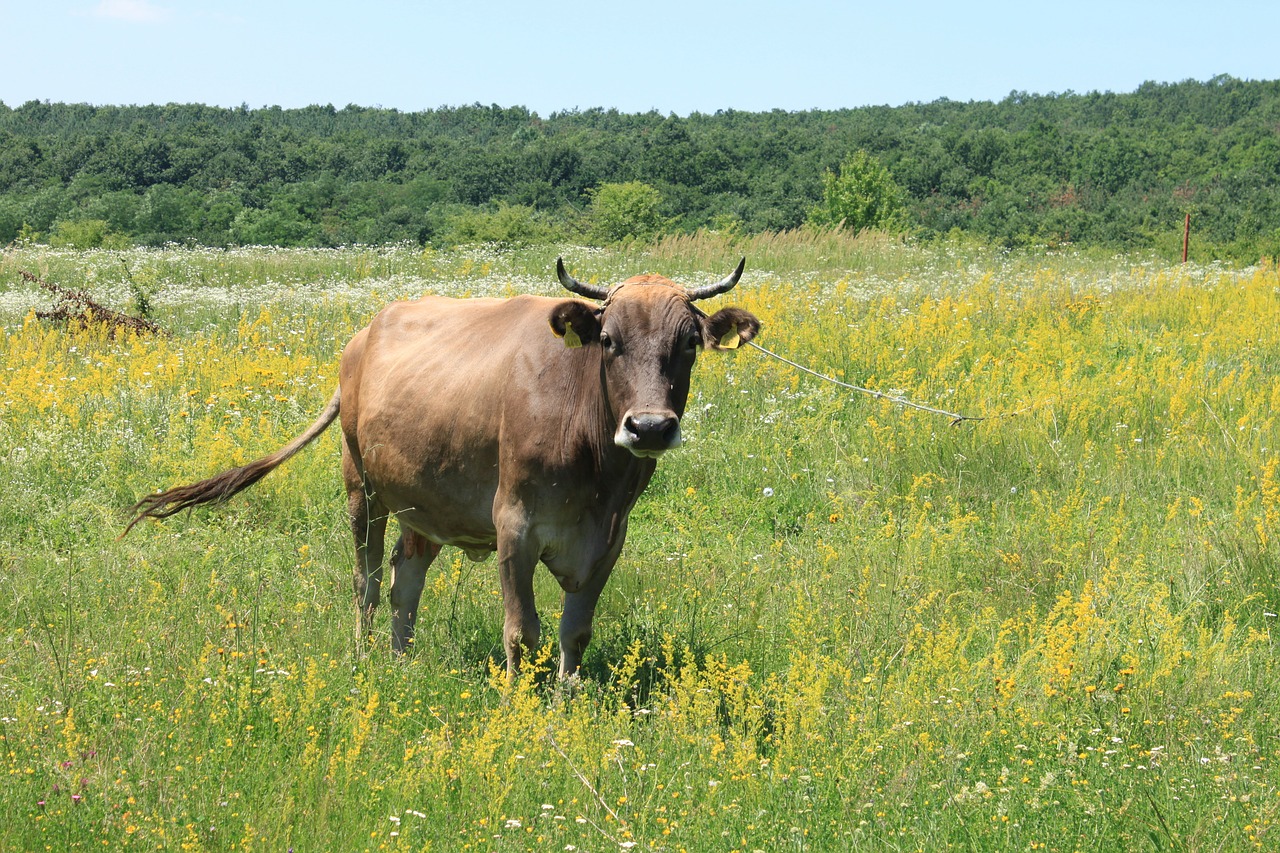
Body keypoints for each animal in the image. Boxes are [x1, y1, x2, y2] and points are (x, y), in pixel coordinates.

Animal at [123, 256, 752, 676]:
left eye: (689, 343)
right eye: (610, 341)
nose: (649, 427)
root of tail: (362, 336)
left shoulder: (608, 539)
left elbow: (576, 633)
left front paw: (565, 707)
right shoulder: (515, 526)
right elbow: (522, 632)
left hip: (420, 501)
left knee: (405, 580)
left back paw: (401, 661)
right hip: (361, 488)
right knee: (366, 582)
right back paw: (364, 657)